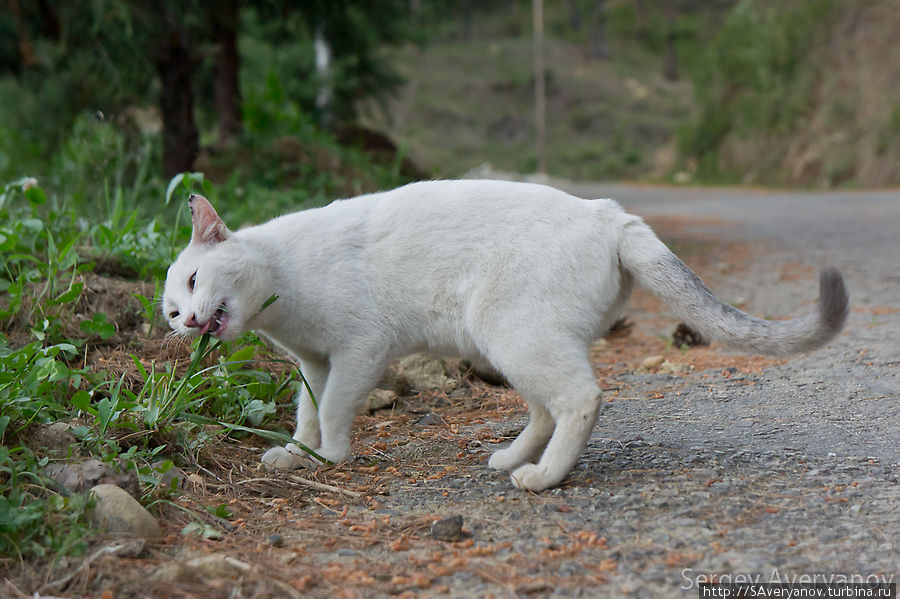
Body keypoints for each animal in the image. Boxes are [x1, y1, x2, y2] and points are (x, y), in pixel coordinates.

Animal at [165, 182, 848, 492]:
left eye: (197, 281)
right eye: (171, 313)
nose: (190, 322)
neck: (280, 287)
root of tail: (612, 213)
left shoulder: (358, 352)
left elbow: (332, 411)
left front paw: (329, 457)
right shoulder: (314, 361)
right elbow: (306, 410)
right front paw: (296, 453)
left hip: (512, 335)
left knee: (581, 399)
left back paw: (542, 477)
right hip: (508, 345)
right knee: (547, 407)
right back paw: (515, 459)